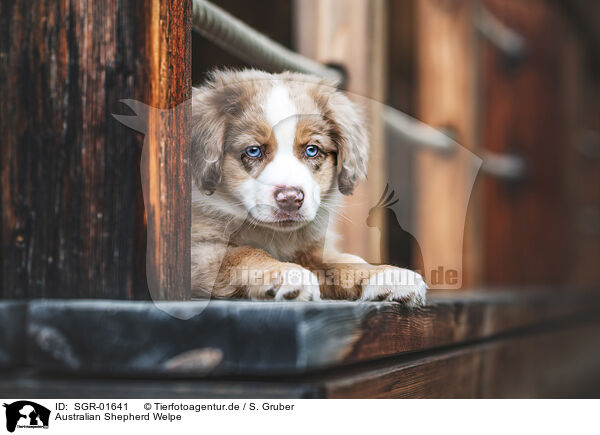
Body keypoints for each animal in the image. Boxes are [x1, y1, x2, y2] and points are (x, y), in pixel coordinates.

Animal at [191, 69, 426, 306]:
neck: (272, 234)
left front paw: (387, 274)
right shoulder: (198, 250)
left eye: (311, 150)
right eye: (253, 151)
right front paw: (286, 273)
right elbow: (243, 254)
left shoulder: (312, 248)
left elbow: (340, 260)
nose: (290, 199)